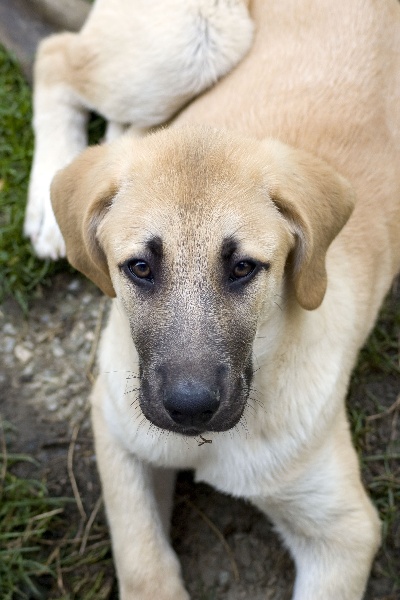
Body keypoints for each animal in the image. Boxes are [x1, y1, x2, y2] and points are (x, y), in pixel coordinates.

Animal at [49, 0, 400, 598]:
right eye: (139, 267)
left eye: (242, 268)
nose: (191, 410)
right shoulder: (115, 425)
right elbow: (143, 563)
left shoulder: (344, 531)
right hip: (194, 39)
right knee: (56, 57)